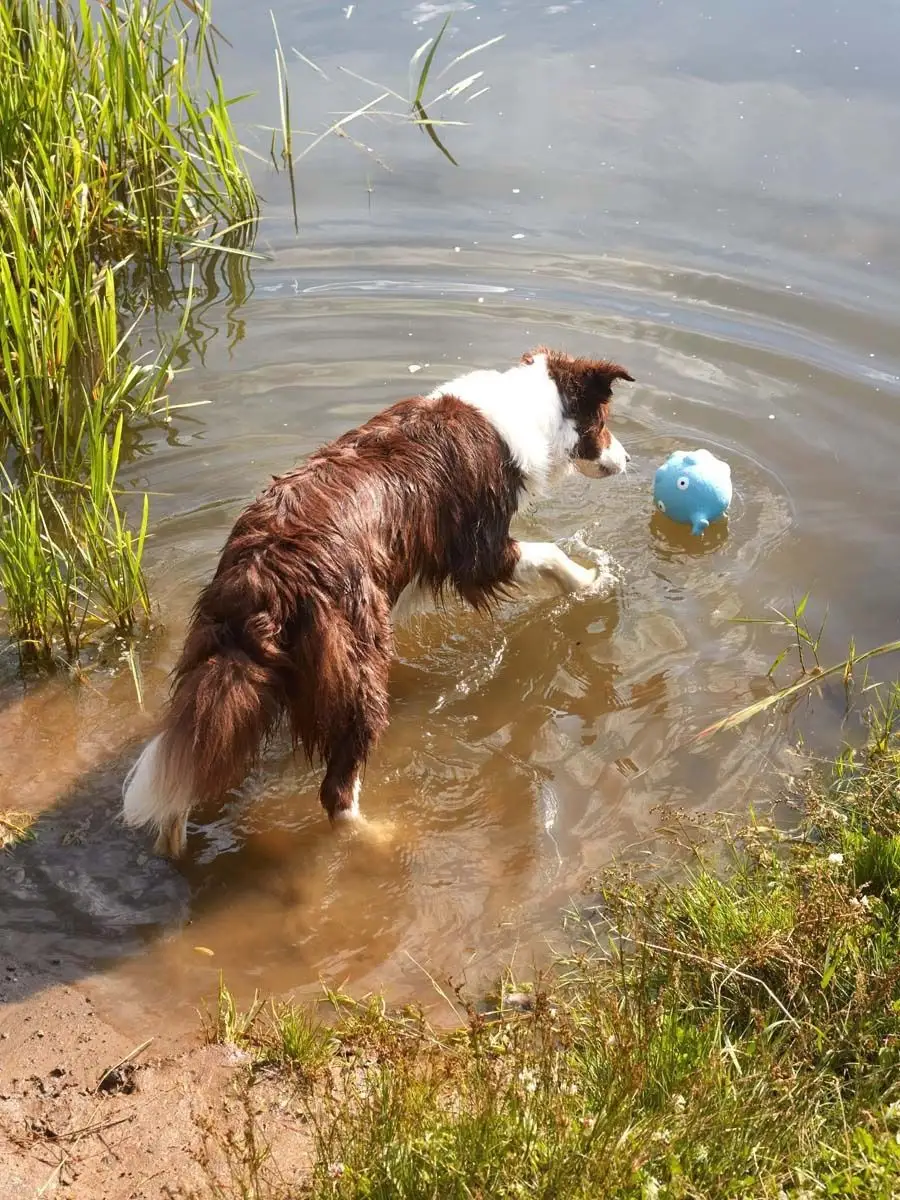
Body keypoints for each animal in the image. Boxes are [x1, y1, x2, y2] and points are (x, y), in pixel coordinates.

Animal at [121, 343, 633, 859]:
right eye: (603, 421)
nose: (628, 458)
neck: (526, 406)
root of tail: (264, 572)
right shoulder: (480, 553)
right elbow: (551, 555)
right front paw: (592, 581)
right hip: (356, 667)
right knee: (337, 792)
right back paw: (384, 837)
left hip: (234, 664)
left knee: (194, 754)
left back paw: (173, 841)